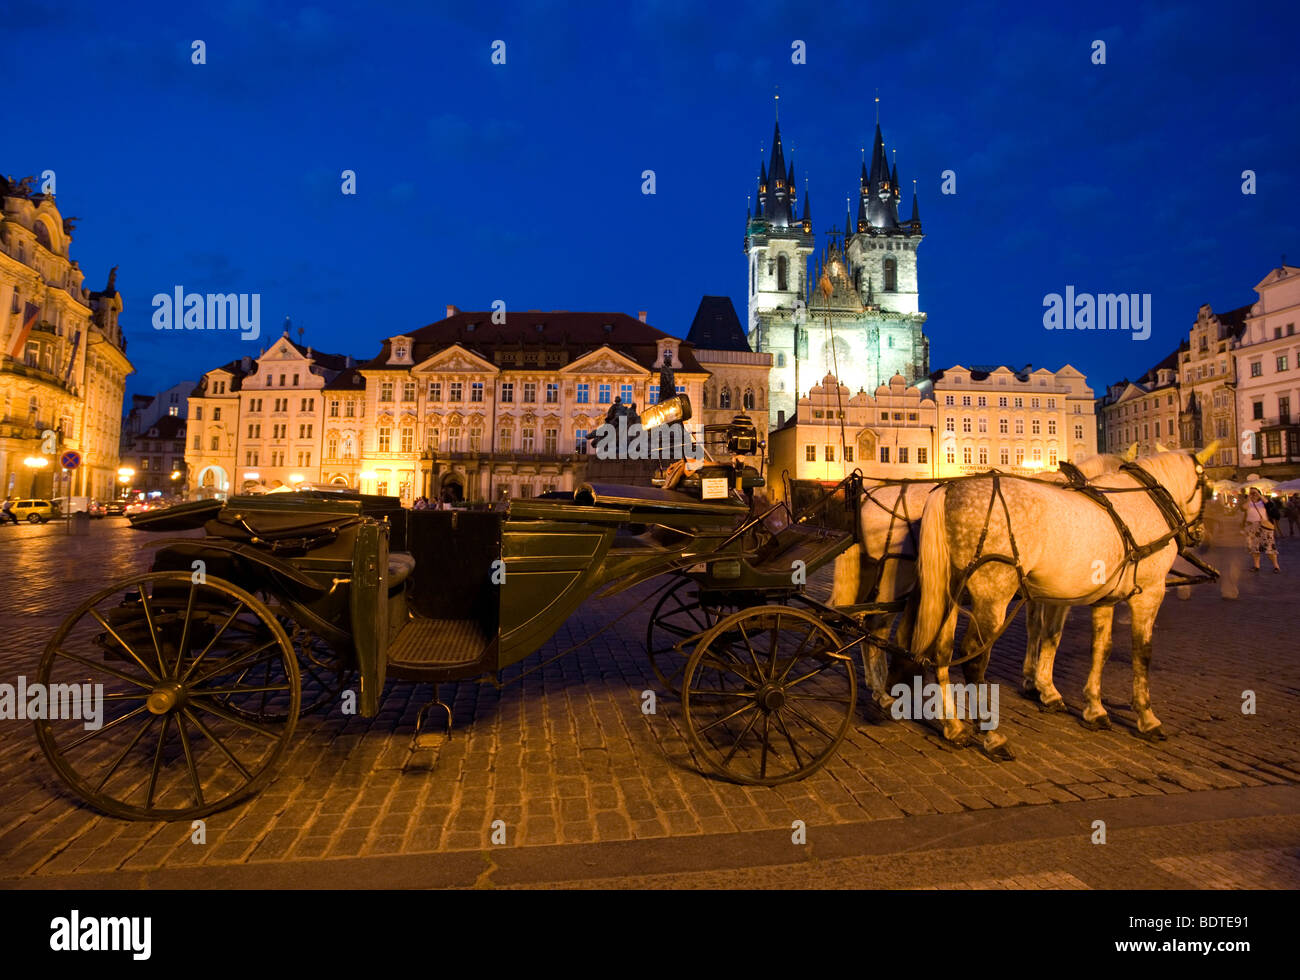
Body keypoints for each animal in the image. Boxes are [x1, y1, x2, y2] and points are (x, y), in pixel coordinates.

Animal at [915, 447, 1206, 743]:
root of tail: (949, 488)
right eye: (1206, 485)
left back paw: (954, 726)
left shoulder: (1100, 598)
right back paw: (991, 734)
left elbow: (1097, 647)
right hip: (993, 595)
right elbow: (1141, 653)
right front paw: (1147, 717)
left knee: (942, 650)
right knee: (973, 656)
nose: (1198, 533)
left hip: (952, 590)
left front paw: (1092, 708)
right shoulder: (1149, 593)